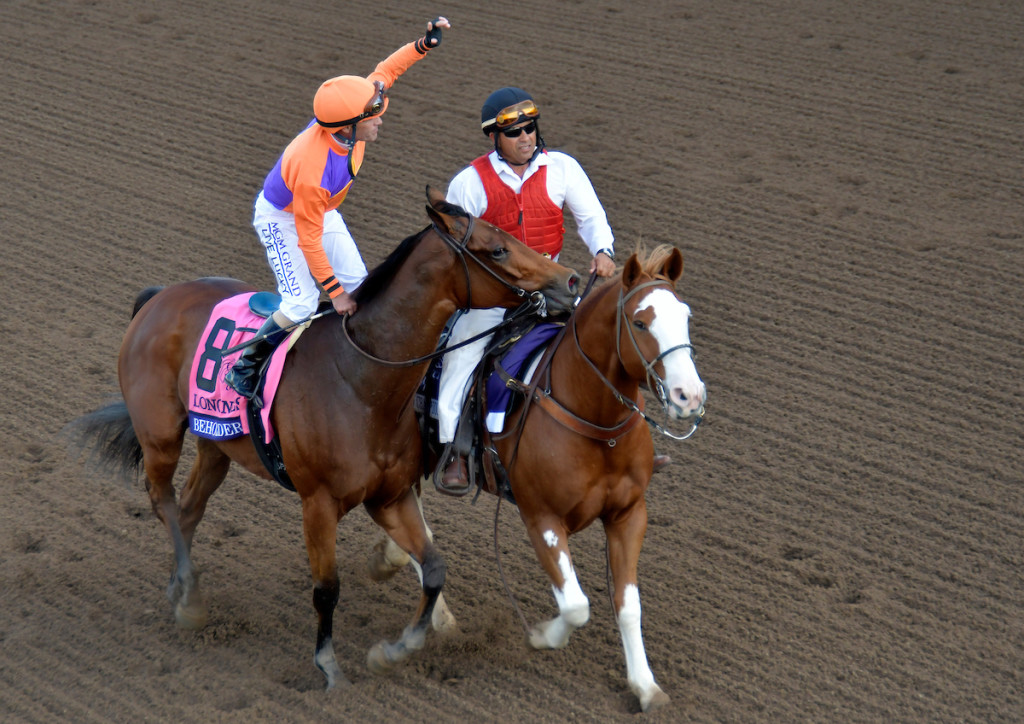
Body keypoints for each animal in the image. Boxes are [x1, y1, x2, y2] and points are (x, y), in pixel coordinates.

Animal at [67, 187, 580, 688]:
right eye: (498, 248)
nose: (572, 280)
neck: (362, 380)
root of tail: (159, 296)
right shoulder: (317, 501)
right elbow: (327, 589)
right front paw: (329, 668)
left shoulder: (391, 496)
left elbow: (434, 568)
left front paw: (396, 650)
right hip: (159, 433)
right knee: (164, 503)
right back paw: (189, 597)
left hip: (215, 441)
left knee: (190, 509)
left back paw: (182, 584)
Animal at [369, 244, 706, 712]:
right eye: (640, 322)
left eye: (685, 316)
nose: (688, 397)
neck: (594, 425)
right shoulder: (541, 518)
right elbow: (576, 605)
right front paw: (541, 636)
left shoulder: (628, 514)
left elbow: (628, 605)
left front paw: (645, 686)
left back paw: (401, 571)